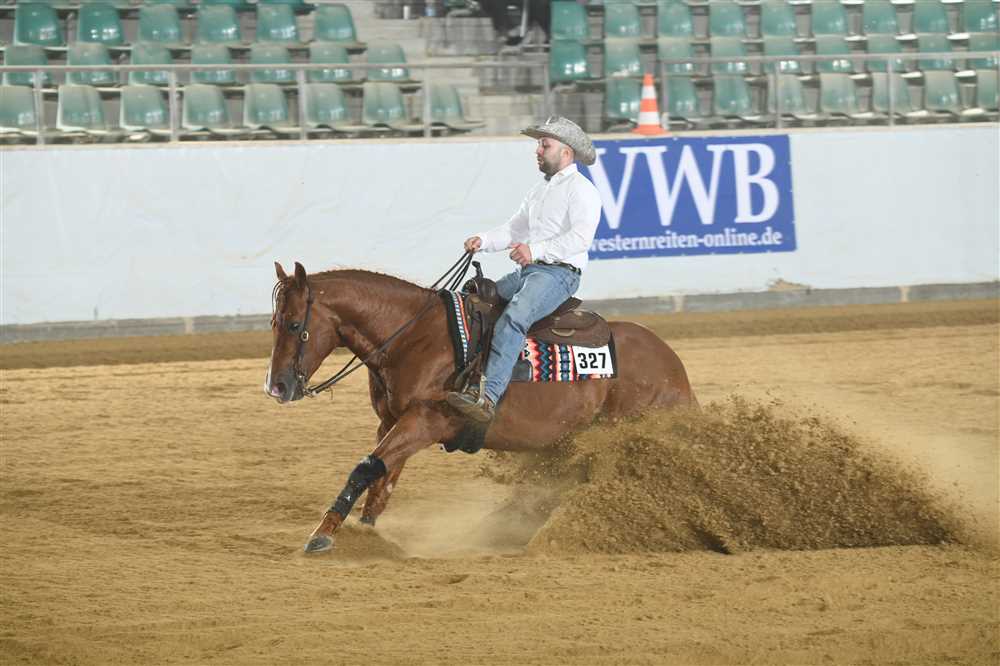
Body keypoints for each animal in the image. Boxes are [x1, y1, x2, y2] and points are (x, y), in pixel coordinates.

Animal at [265, 261, 697, 553]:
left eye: (293, 324)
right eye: (273, 321)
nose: (276, 386)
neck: (415, 337)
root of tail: (673, 365)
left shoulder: (424, 420)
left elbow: (365, 468)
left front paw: (321, 536)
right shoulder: (392, 421)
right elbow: (382, 481)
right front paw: (366, 533)